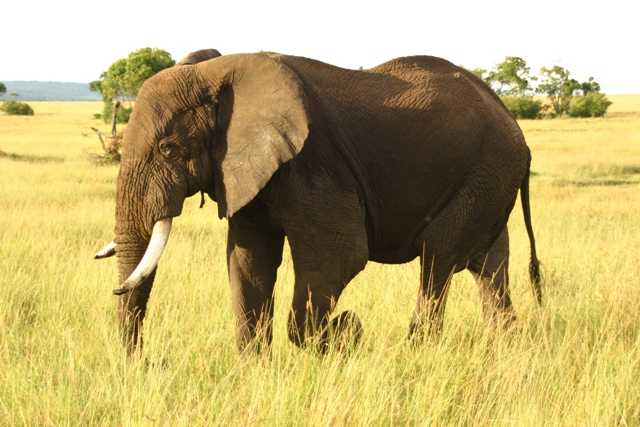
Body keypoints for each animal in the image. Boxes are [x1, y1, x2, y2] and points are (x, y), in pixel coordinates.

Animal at [96, 47, 540, 354]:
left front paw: (348, 330)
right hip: (489, 178)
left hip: (488, 167)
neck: (219, 71)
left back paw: (418, 351)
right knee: (489, 264)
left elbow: (339, 256)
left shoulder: (314, 162)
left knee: (438, 258)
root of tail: (512, 120)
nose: (145, 362)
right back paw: (508, 346)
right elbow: (246, 262)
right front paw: (255, 373)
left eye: (168, 149)